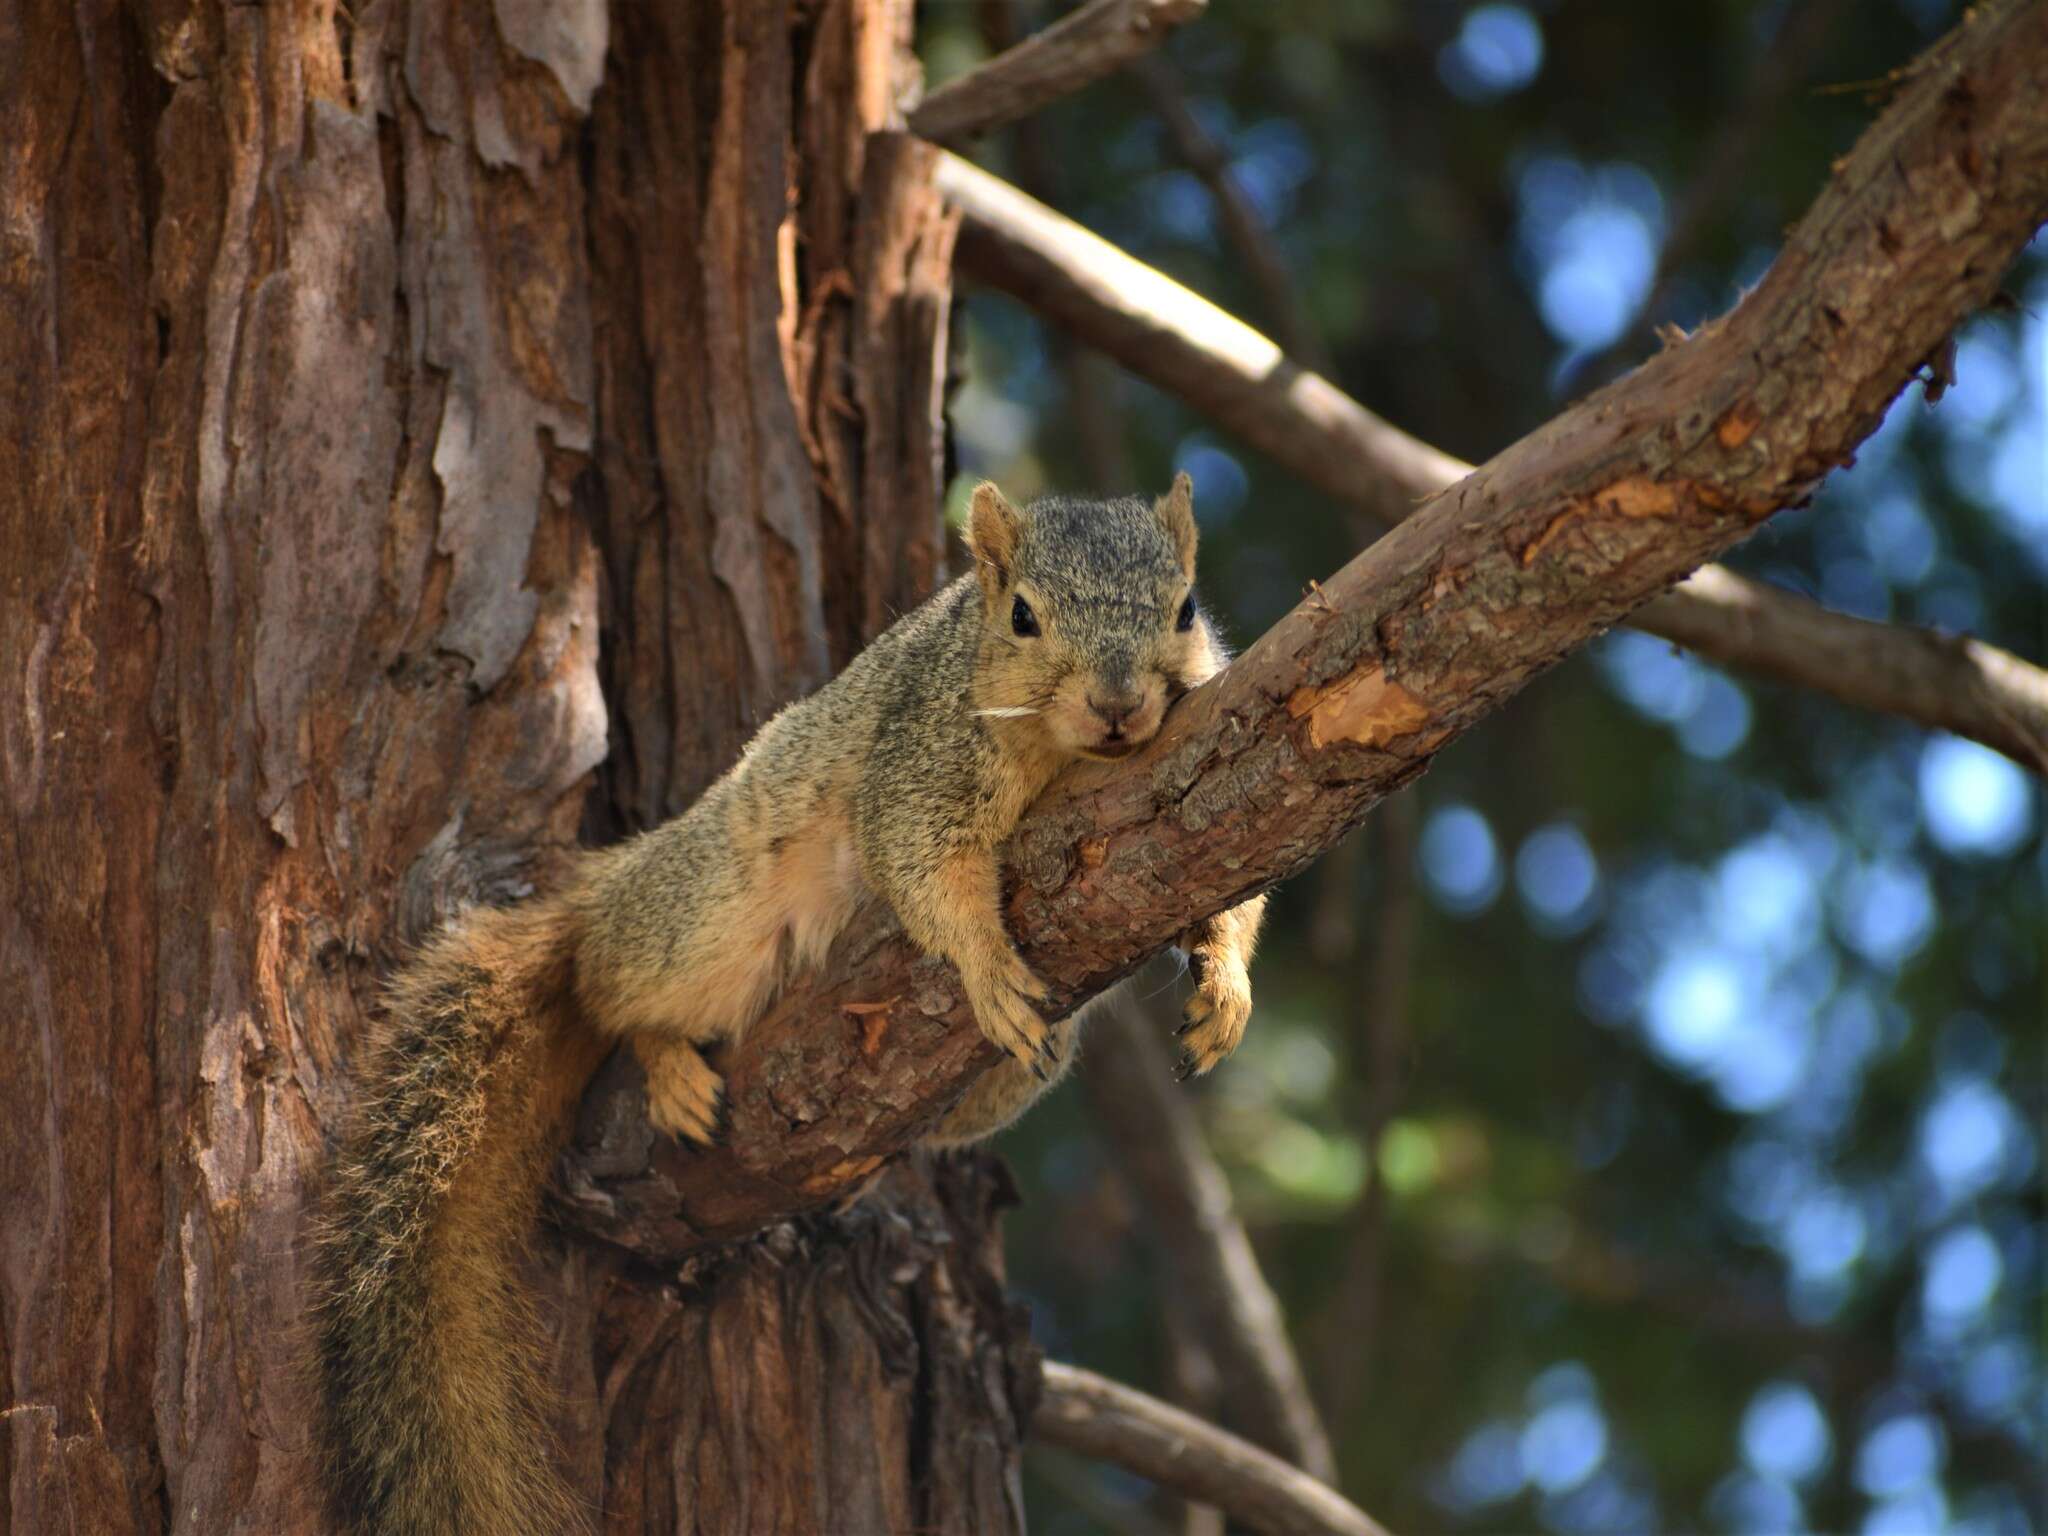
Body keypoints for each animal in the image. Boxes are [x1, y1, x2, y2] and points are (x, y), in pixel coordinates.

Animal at [307, 475, 1261, 1531]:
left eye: (1186, 608)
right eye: (1022, 616)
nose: (1120, 706)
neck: (1067, 756)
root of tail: (616, 881)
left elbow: (1230, 887)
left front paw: (1225, 981)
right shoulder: (919, 766)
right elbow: (921, 864)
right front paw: (984, 965)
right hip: (708, 920)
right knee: (608, 980)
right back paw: (665, 1056)